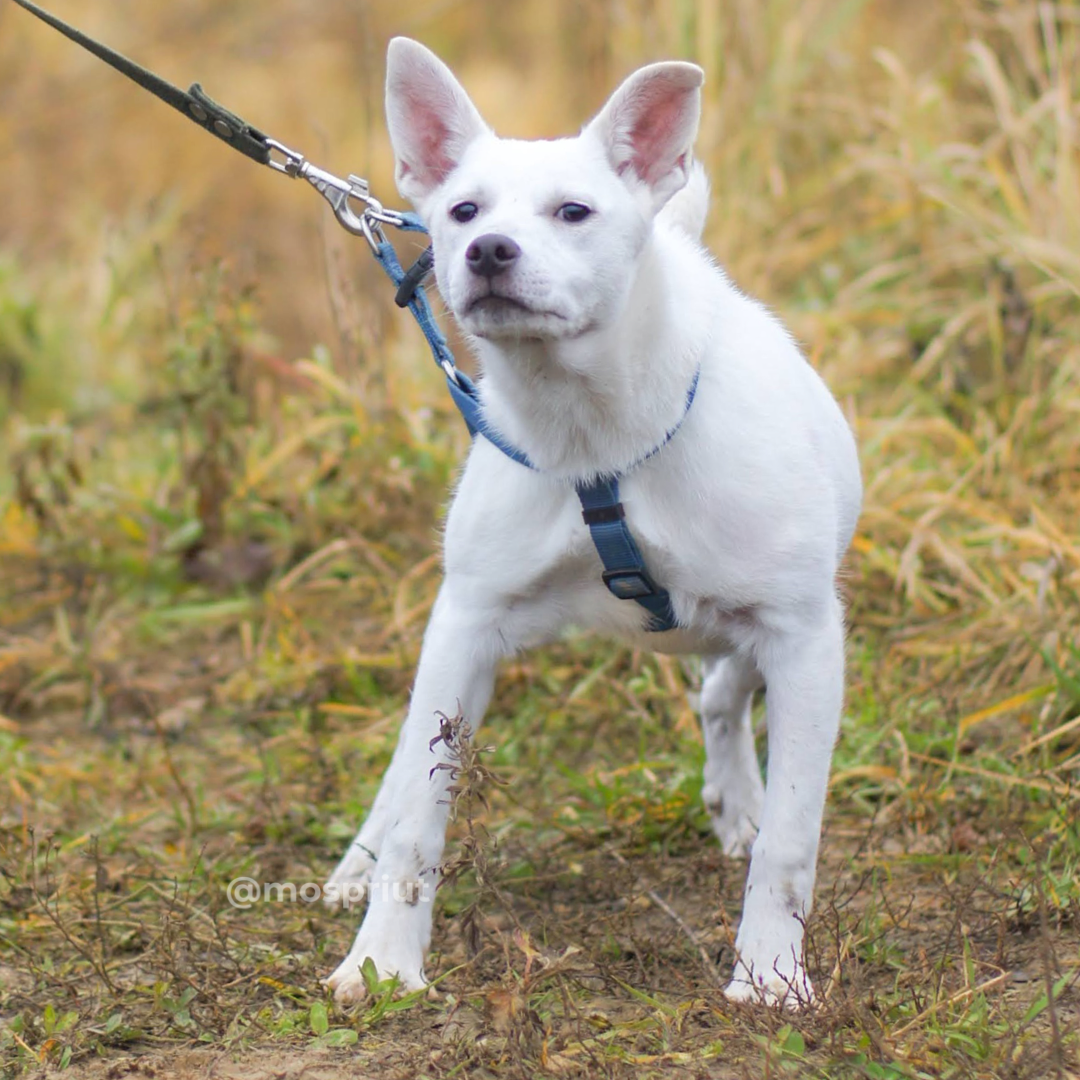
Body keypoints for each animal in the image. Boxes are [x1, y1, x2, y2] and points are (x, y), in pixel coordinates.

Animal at [324, 38, 864, 1006]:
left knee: (723, 694)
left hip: (767, 625)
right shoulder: (466, 627)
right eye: (462, 210)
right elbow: (419, 817)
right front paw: (382, 962)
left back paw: (738, 805)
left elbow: (791, 843)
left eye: (573, 212)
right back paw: (357, 862)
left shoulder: (802, 634)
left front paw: (770, 979)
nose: (488, 250)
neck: (593, 436)